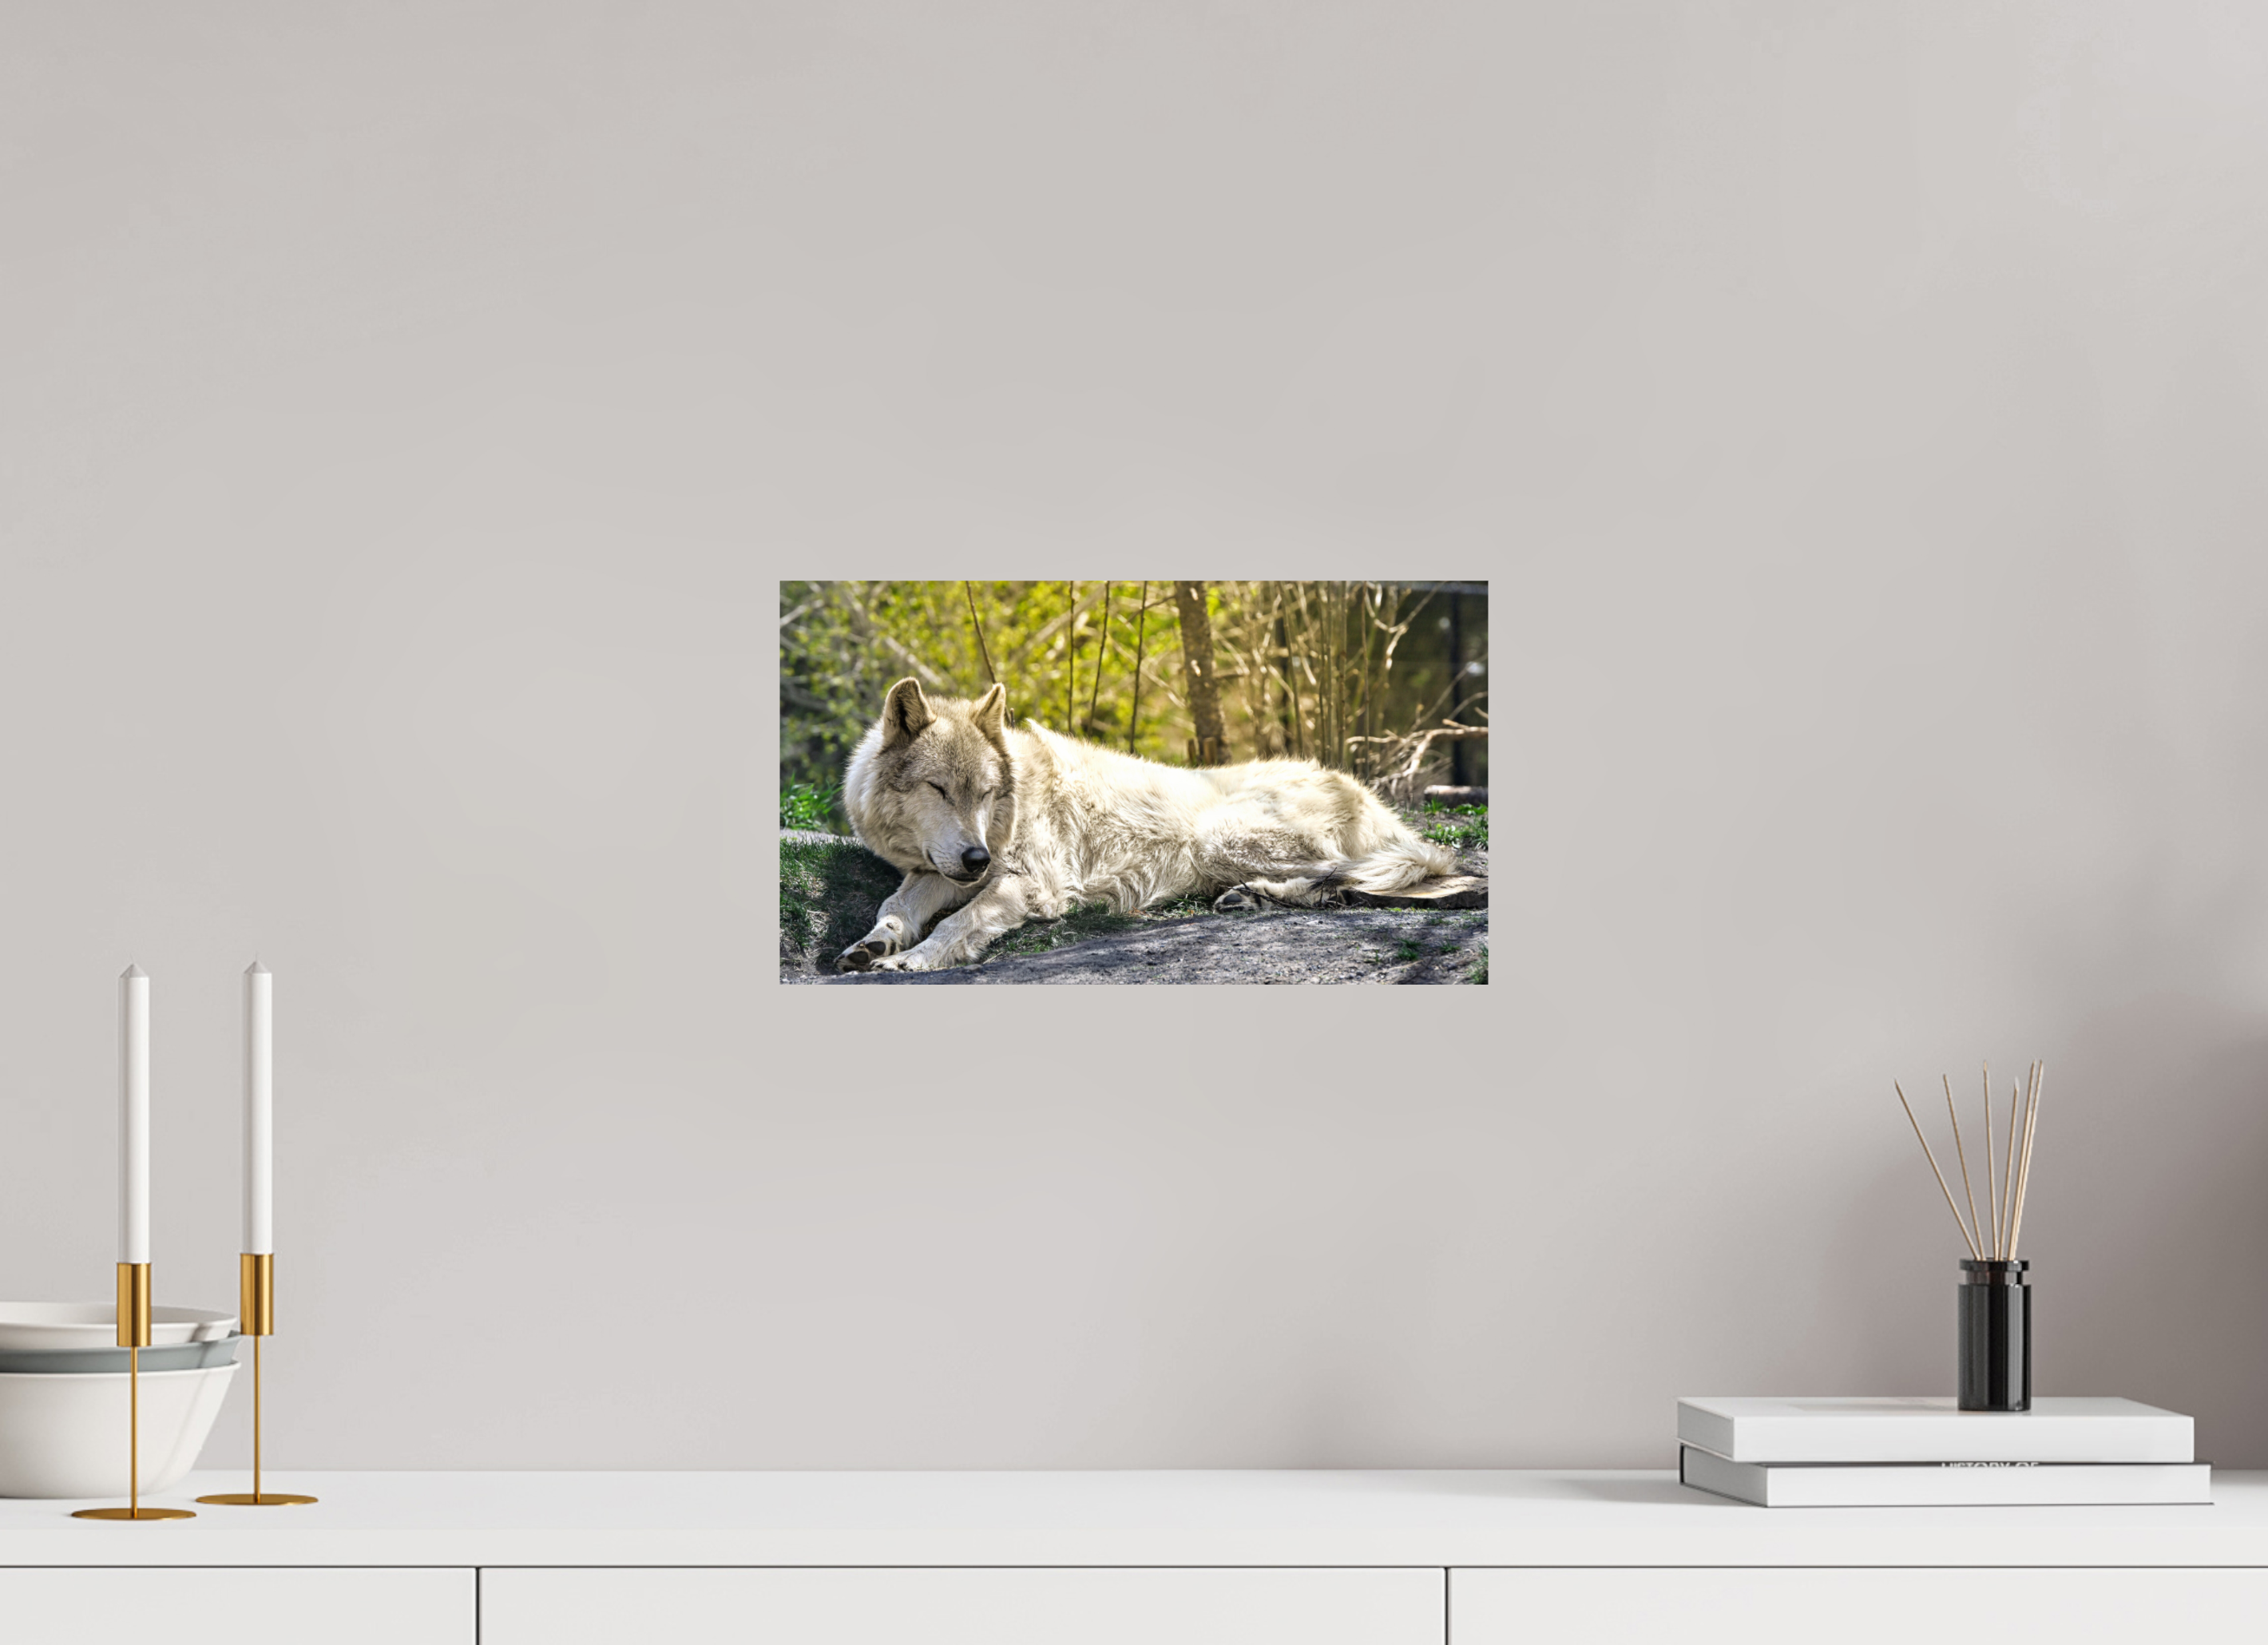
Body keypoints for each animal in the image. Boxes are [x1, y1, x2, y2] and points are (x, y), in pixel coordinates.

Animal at [833, 677, 1476, 972]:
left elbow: (958, 923)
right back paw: (1249, 898)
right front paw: (873, 943)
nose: (977, 859)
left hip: (1219, 836)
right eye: (940, 790)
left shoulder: (1031, 884)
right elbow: (895, 904)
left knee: (1352, 874)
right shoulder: (937, 870)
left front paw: (912, 960)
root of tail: (1374, 801)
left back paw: (1261, 894)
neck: (1003, 822)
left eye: (986, 793)